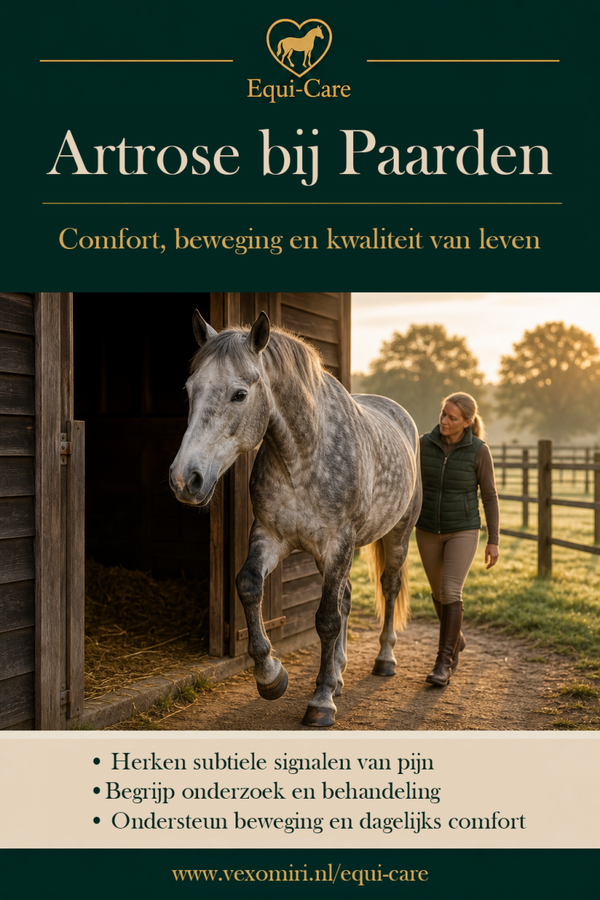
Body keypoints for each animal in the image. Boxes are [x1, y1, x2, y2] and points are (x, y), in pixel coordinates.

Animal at [170, 311, 422, 727]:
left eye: (240, 394)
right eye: (190, 389)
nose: (184, 479)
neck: (302, 459)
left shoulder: (338, 545)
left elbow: (326, 619)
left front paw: (321, 702)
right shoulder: (270, 535)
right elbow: (249, 586)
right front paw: (271, 676)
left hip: (397, 536)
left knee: (388, 588)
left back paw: (384, 659)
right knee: (346, 598)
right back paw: (338, 673)